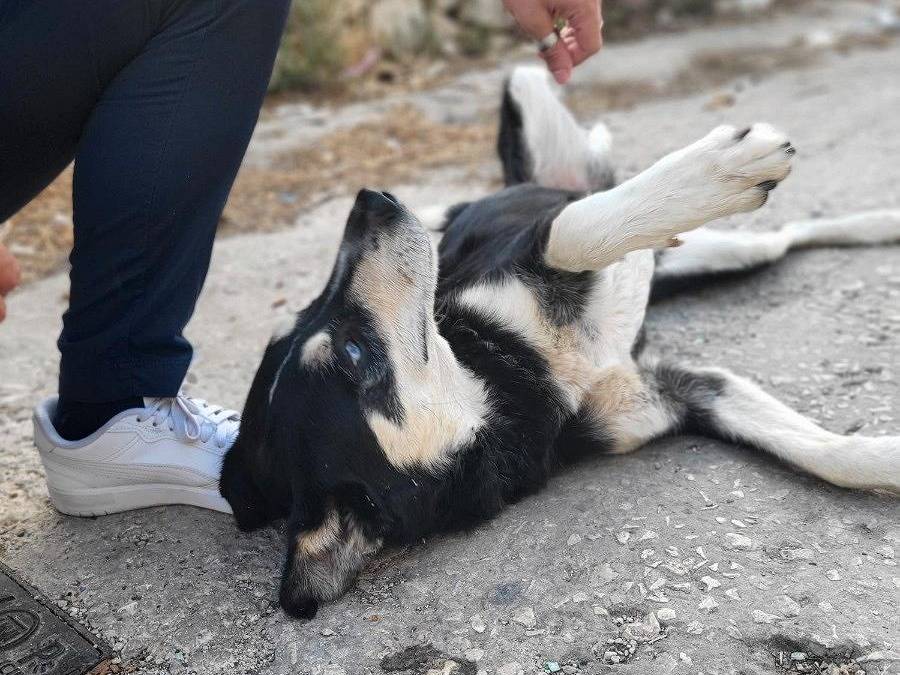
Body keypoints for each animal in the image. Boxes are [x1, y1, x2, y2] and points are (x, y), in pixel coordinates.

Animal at [220, 66, 900, 620]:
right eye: (354, 352)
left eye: (306, 312)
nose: (368, 200)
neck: (517, 377)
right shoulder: (678, 392)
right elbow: (829, 454)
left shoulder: (543, 246)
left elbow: (577, 227)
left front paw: (718, 170)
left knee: (776, 231)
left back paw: (873, 220)